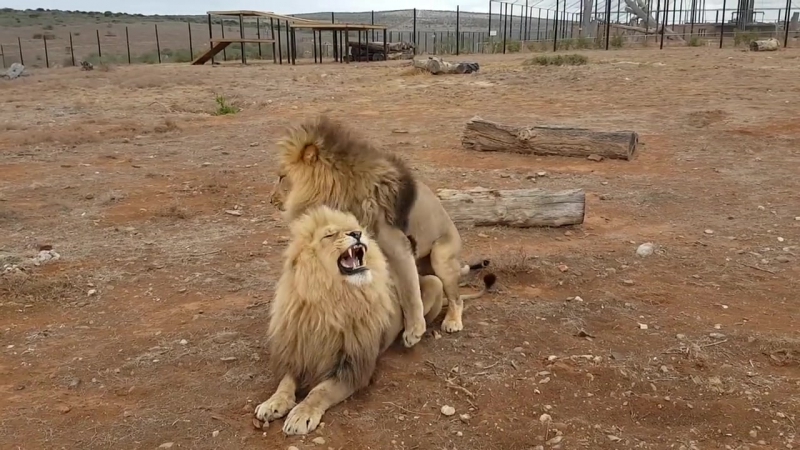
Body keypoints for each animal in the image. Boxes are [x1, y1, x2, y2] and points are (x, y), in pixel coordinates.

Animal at [254, 205, 494, 435]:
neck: (331, 300)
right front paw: (272, 403)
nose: (357, 233)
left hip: (435, 280)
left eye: (353, 228)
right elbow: (285, 382)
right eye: (329, 235)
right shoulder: (296, 352)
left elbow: (319, 391)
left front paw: (300, 415)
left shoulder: (354, 367)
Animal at [270, 115, 478, 342]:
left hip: (441, 256)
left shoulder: (398, 247)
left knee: (457, 298)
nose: (271, 200)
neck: (337, 190)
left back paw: (452, 322)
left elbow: (410, 291)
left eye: (282, 177)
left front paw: (414, 330)